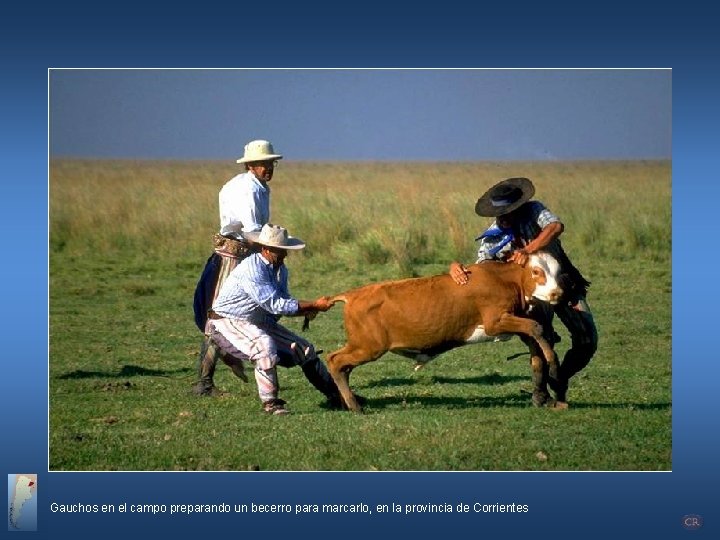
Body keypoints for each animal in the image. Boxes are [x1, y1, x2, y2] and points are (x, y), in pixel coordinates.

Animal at [324, 251, 564, 412]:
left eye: (557, 272)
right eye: (536, 271)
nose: (556, 293)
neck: (505, 280)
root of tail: (352, 294)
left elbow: (535, 343)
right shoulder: (495, 322)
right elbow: (535, 328)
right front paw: (553, 365)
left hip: (362, 346)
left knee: (342, 367)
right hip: (368, 347)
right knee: (334, 360)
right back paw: (354, 406)